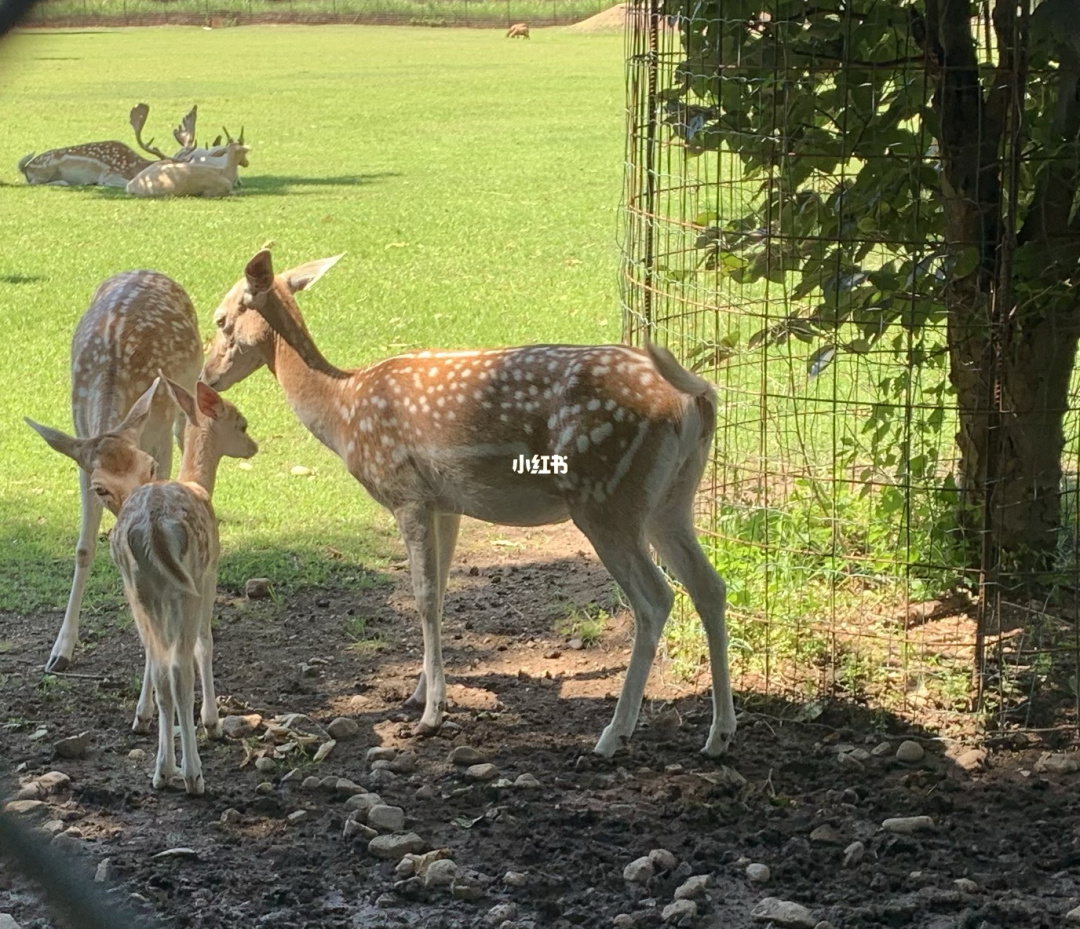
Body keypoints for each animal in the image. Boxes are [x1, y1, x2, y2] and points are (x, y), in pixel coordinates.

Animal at [22, 272, 204, 669]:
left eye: (149, 469)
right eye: (101, 488)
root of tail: (147, 270)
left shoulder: (157, 438)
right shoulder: (81, 456)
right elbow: (83, 549)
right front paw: (60, 651)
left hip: (186, 390)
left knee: (190, 431)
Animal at [199, 250, 738, 760]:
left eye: (222, 319)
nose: (206, 376)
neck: (343, 410)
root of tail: (697, 398)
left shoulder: (406, 492)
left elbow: (422, 596)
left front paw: (431, 714)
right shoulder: (448, 503)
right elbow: (441, 590)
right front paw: (420, 694)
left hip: (606, 497)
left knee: (655, 598)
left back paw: (613, 735)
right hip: (671, 500)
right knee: (710, 586)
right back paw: (718, 735)